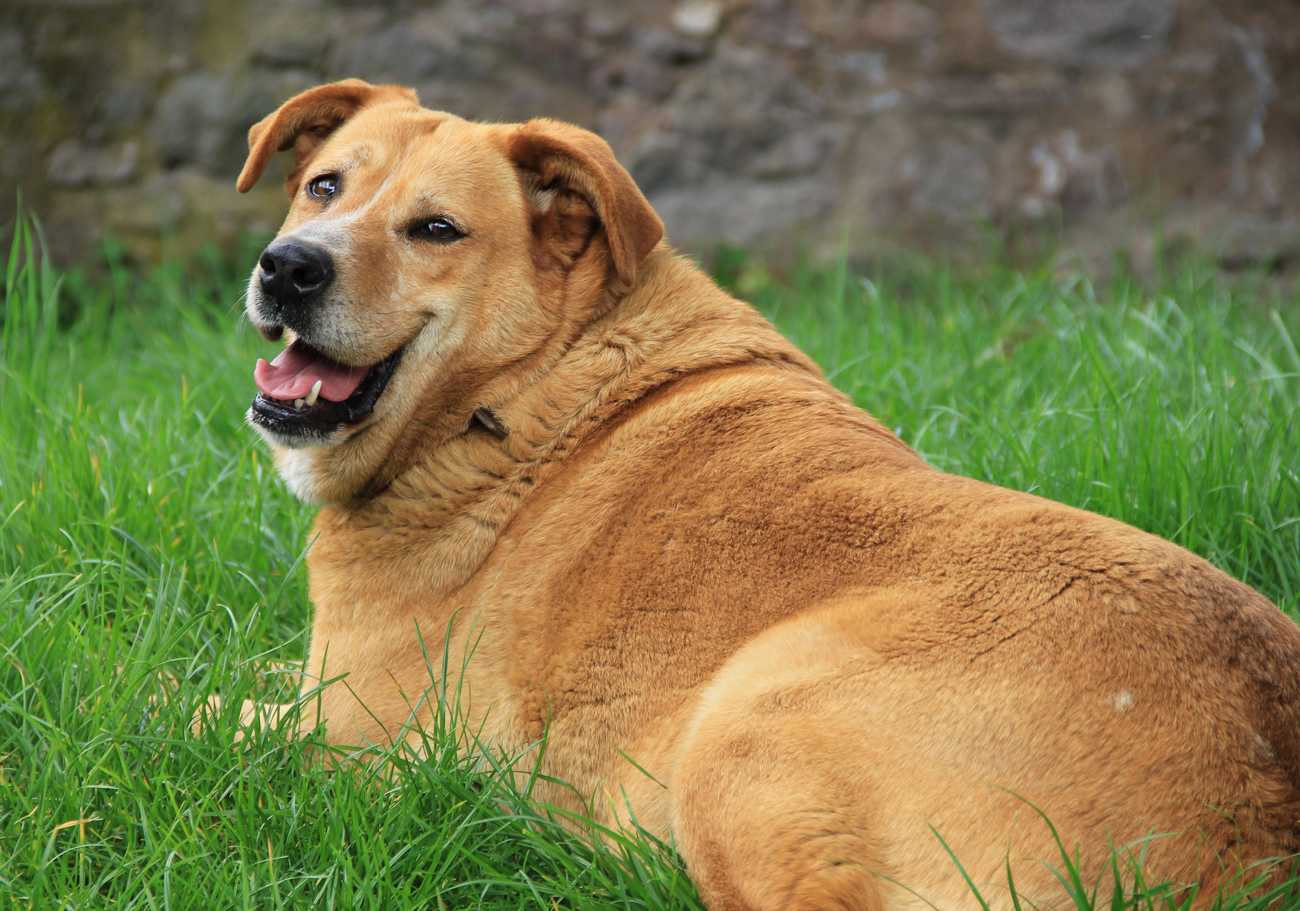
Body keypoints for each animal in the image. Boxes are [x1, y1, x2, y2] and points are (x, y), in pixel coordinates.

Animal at [226, 79, 1300, 909]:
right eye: (324, 186)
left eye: (436, 229)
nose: (288, 266)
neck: (521, 394)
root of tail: (1256, 827)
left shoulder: (349, 734)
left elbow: (200, 712)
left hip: (746, 723)